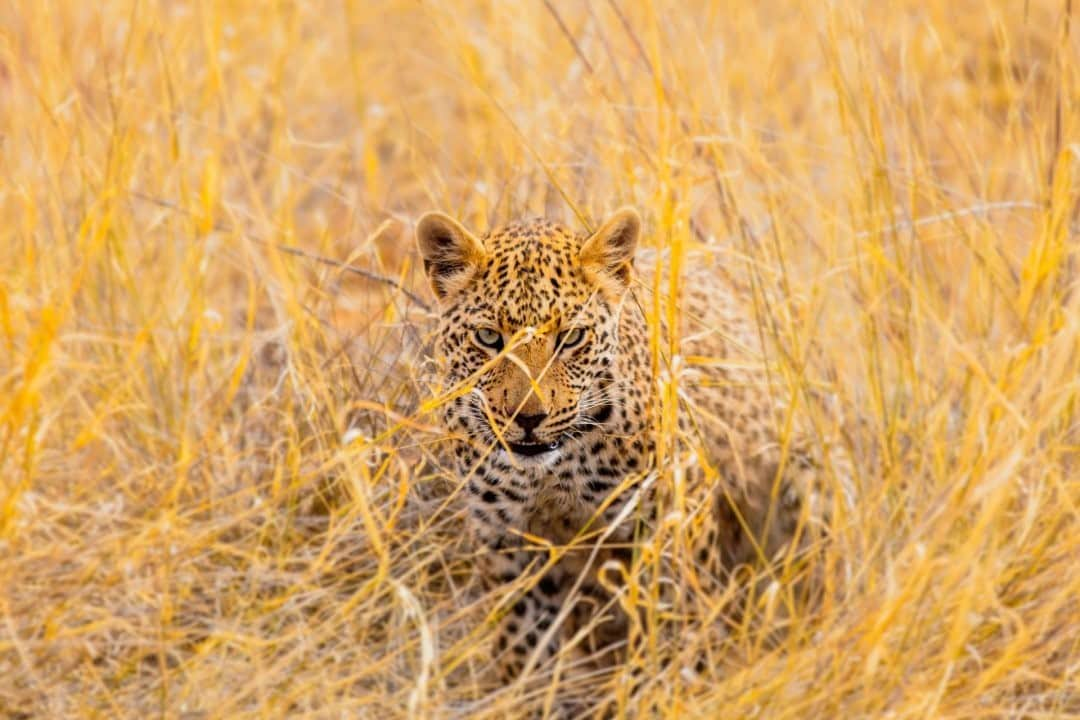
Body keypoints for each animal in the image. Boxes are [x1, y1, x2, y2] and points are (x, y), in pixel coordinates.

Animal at [416, 207, 846, 699]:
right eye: (488, 338)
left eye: (571, 337)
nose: (527, 417)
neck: (555, 474)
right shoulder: (508, 541)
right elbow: (524, 649)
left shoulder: (674, 516)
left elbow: (672, 619)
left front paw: (662, 688)